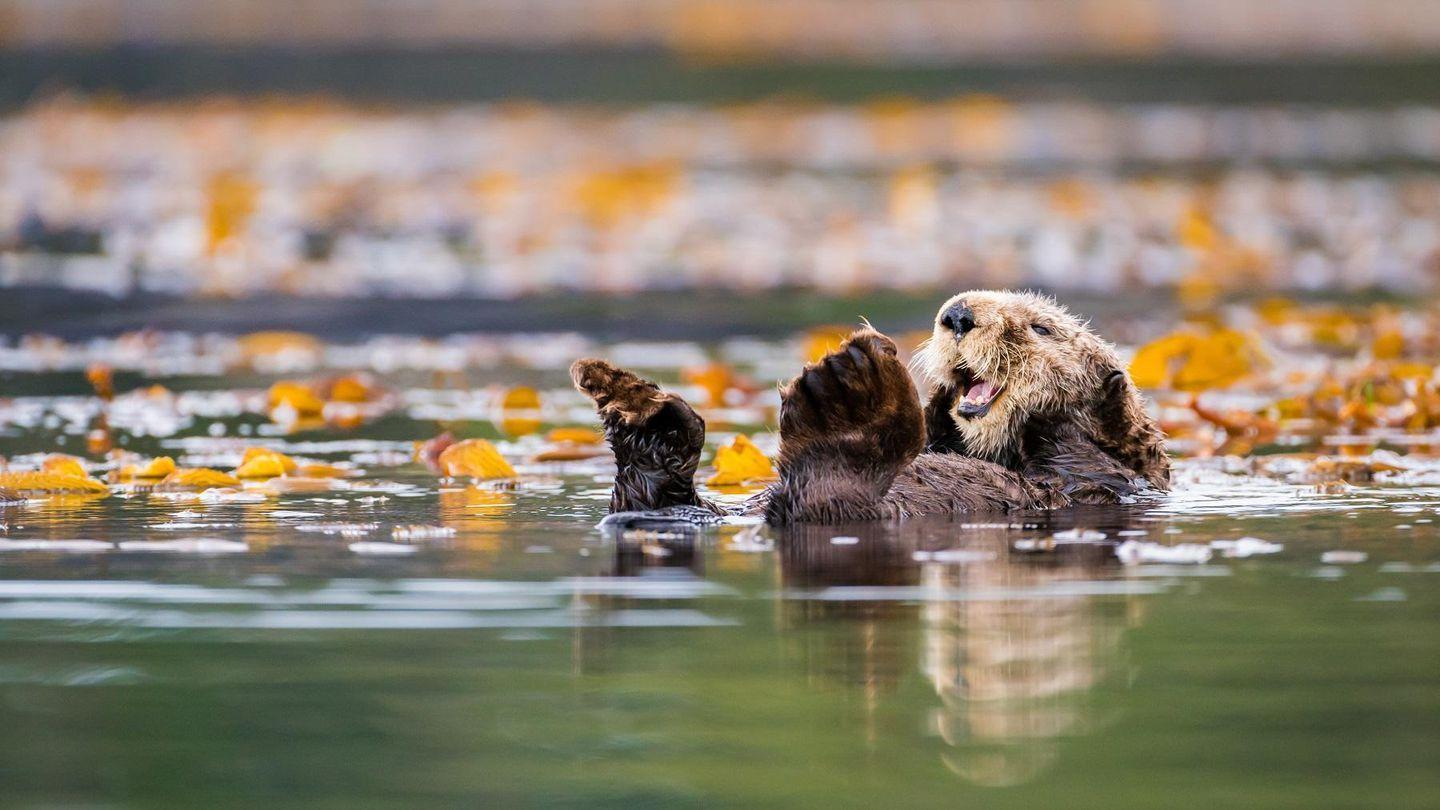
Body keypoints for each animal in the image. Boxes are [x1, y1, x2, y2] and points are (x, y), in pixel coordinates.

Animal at [571, 290, 1169, 525]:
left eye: (1041, 328)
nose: (957, 314)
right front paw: (940, 402)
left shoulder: (1104, 478)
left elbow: (1071, 452)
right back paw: (637, 406)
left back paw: (845, 393)